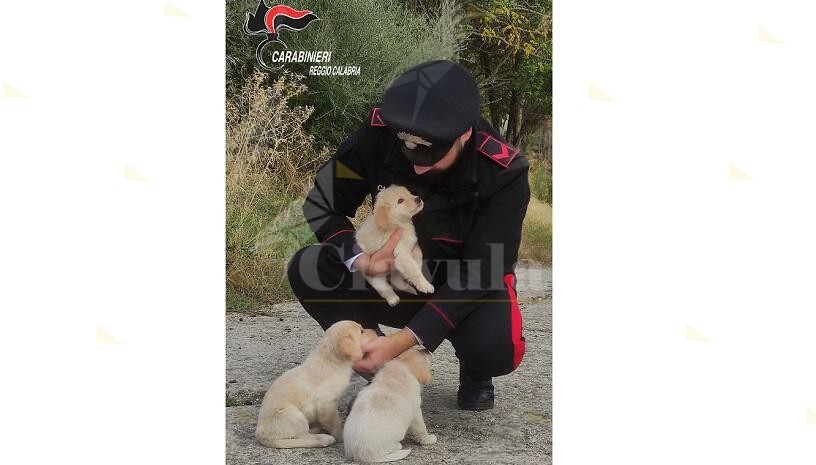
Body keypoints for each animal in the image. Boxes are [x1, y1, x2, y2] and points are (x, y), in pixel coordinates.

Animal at [255, 320, 380, 448]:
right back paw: (323, 438)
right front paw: (341, 436)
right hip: (292, 414)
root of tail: (260, 435)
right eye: (361, 331)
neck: (331, 360)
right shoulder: (327, 404)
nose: (375, 331)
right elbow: (335, 423)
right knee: (301, 436)